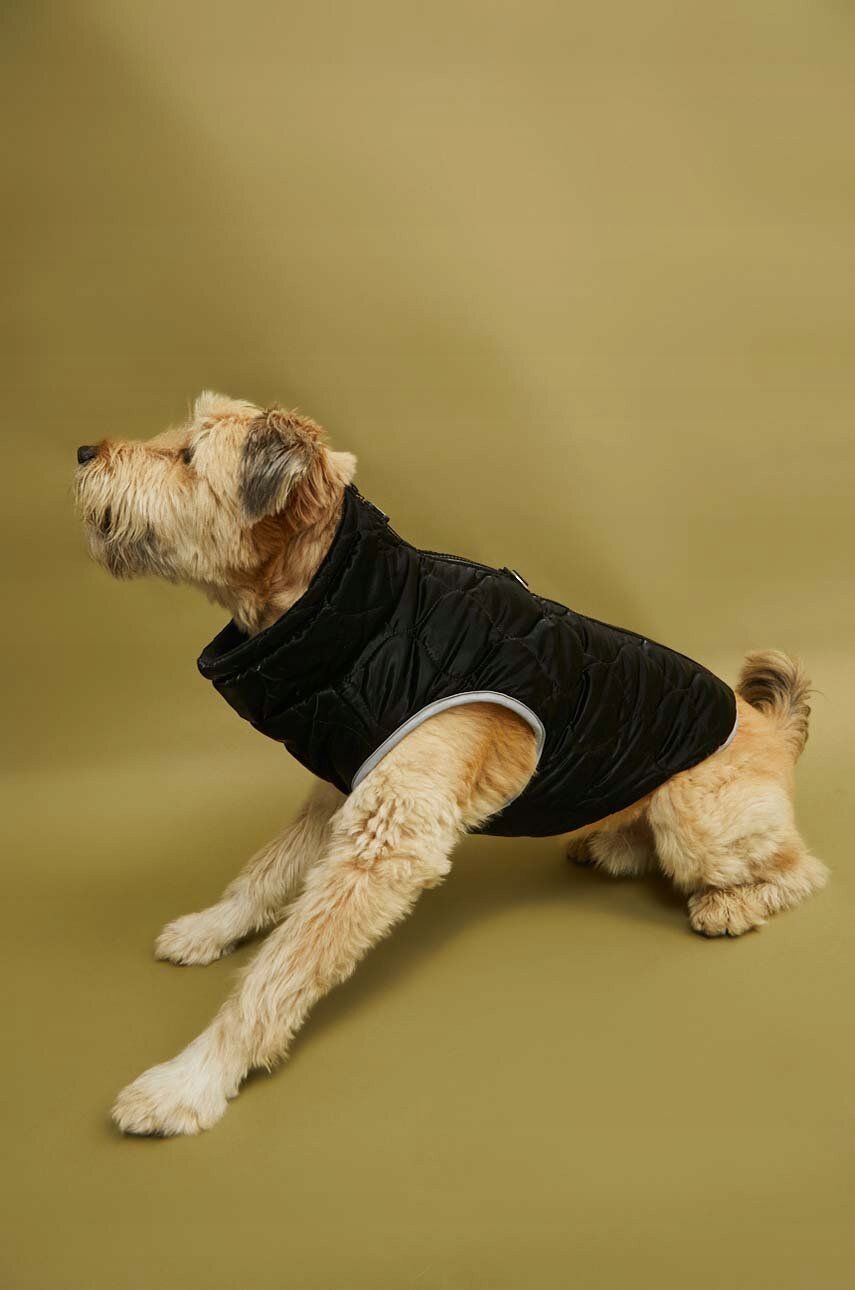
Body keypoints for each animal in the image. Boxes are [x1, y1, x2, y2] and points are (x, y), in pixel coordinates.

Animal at [74, 390, 828, 1136]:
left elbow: (281, 969)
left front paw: (190, 1080)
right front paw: (212, 929)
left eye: (187, 454)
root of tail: (767, 725)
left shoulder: (386, 839)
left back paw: (729, 904)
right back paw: (612, 843)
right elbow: (264, 872)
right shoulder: (342, 790)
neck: (360, 609)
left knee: (803, 869)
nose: (84, 451)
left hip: (693, 815)